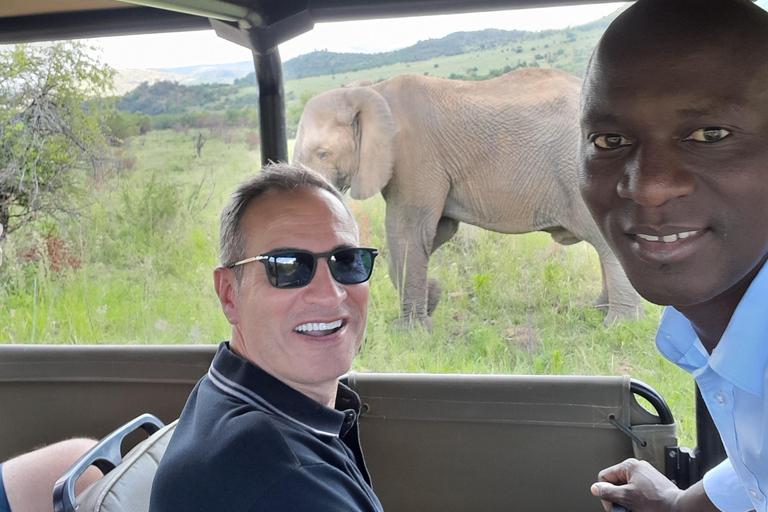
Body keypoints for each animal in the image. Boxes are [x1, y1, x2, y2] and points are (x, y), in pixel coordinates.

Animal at [294, 68, 640, 330]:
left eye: (322, 153)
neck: (370, 91)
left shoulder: (416, 157)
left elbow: (409, 231)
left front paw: (410, 332)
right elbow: (438, 231)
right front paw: (433, 297)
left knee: (606, 242)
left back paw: (617, 325)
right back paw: (597, 311)